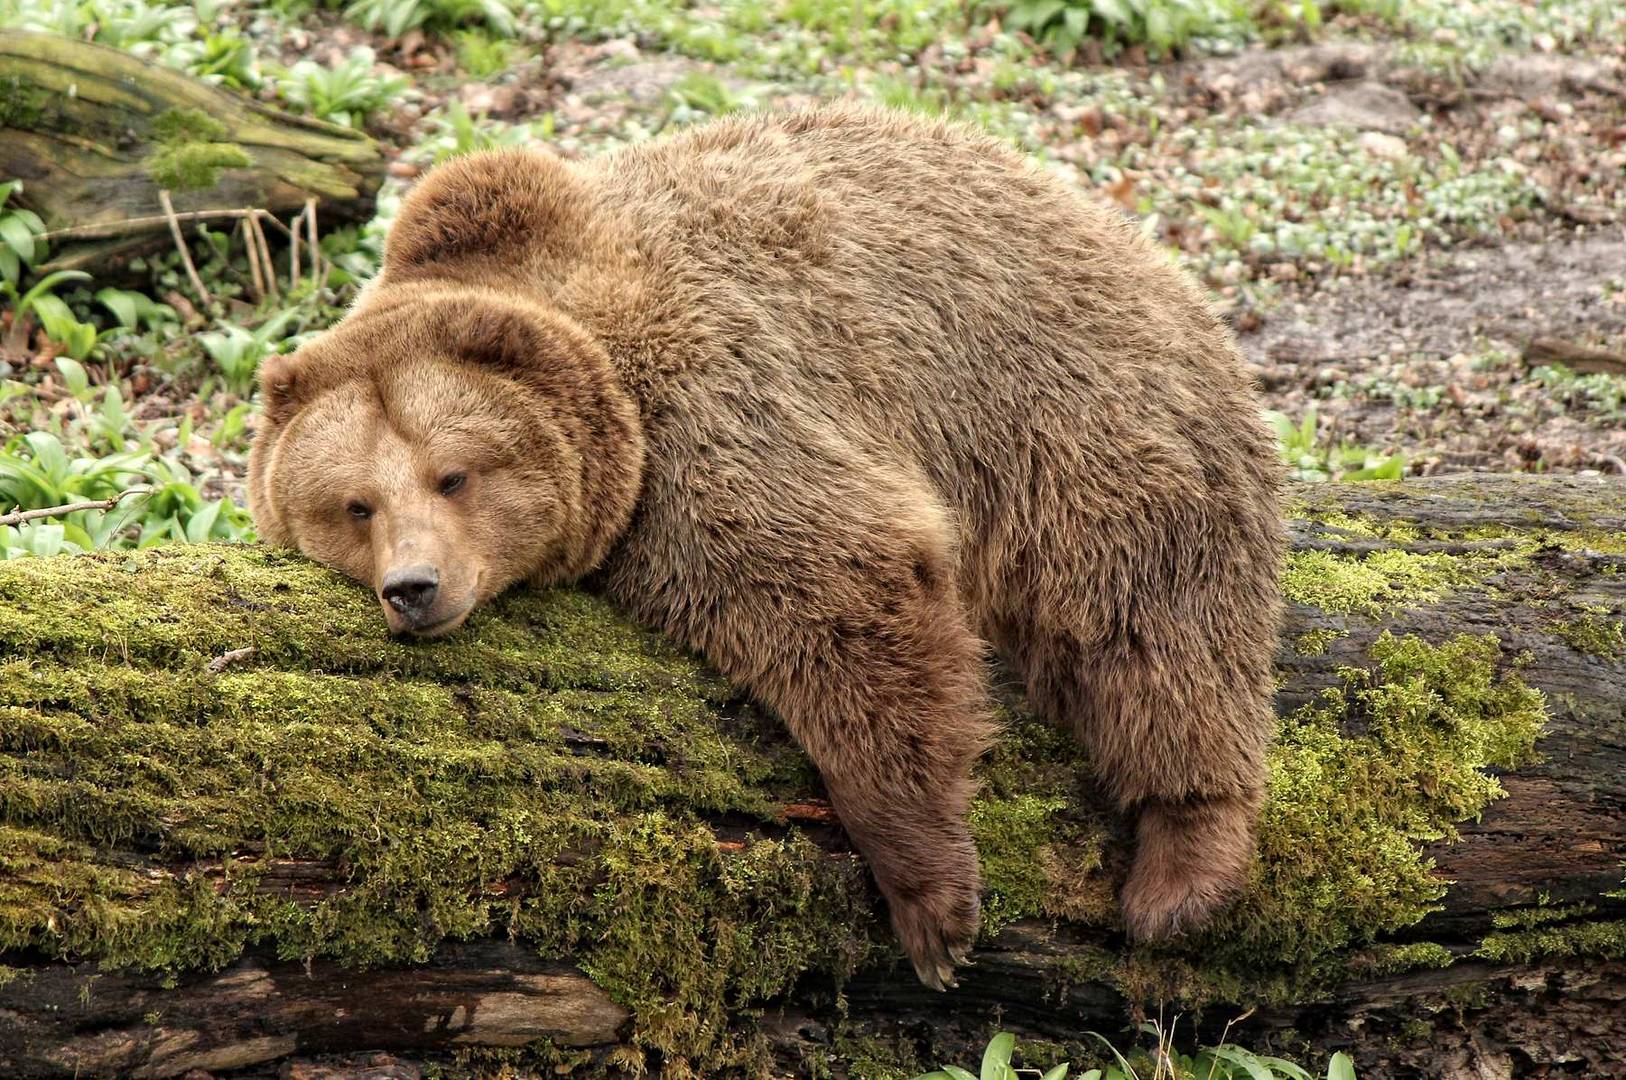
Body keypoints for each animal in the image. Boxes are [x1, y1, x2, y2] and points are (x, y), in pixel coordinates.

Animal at [250, 105, 1281, 988]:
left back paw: (1180, 874)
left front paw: (933, 908)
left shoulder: (712, 403)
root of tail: (1140, 250)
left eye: (453, 475)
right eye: (355, 505)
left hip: (1084, 422)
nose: (415, 587)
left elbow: (840, 584)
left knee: (1148, 625)